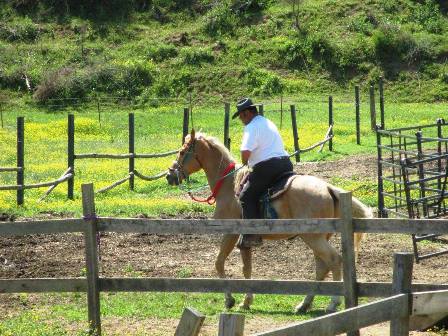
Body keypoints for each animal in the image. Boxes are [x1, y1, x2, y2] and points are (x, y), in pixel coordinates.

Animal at [164, 130, 372, 314]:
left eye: (182, 151)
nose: (169, 175)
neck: (229, 186)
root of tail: (328, 188)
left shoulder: (230, 233)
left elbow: (219, 262)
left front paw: (230, 300)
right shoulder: (245, 241)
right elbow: (246, 269)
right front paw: (246, 301)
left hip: (313, 238)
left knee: (333, 260)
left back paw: (332, 303)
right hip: (320, 238)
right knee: (322, 267)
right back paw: (304, 304)